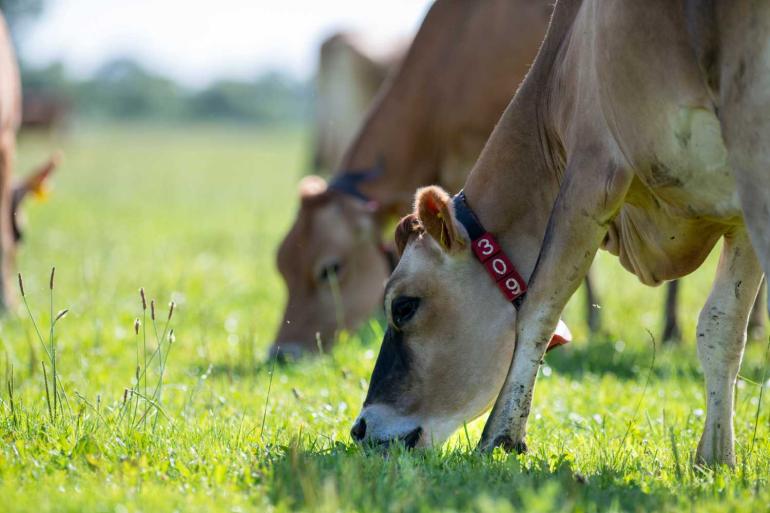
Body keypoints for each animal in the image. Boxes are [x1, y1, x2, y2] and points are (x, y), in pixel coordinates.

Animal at [354, 0, 768, 468]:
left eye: (403, 307)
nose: (359, 428)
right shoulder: (737, 215)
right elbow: (721, 327)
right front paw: (716, 456)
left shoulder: (590, 173)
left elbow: (538, 307)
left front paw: (500, 436)